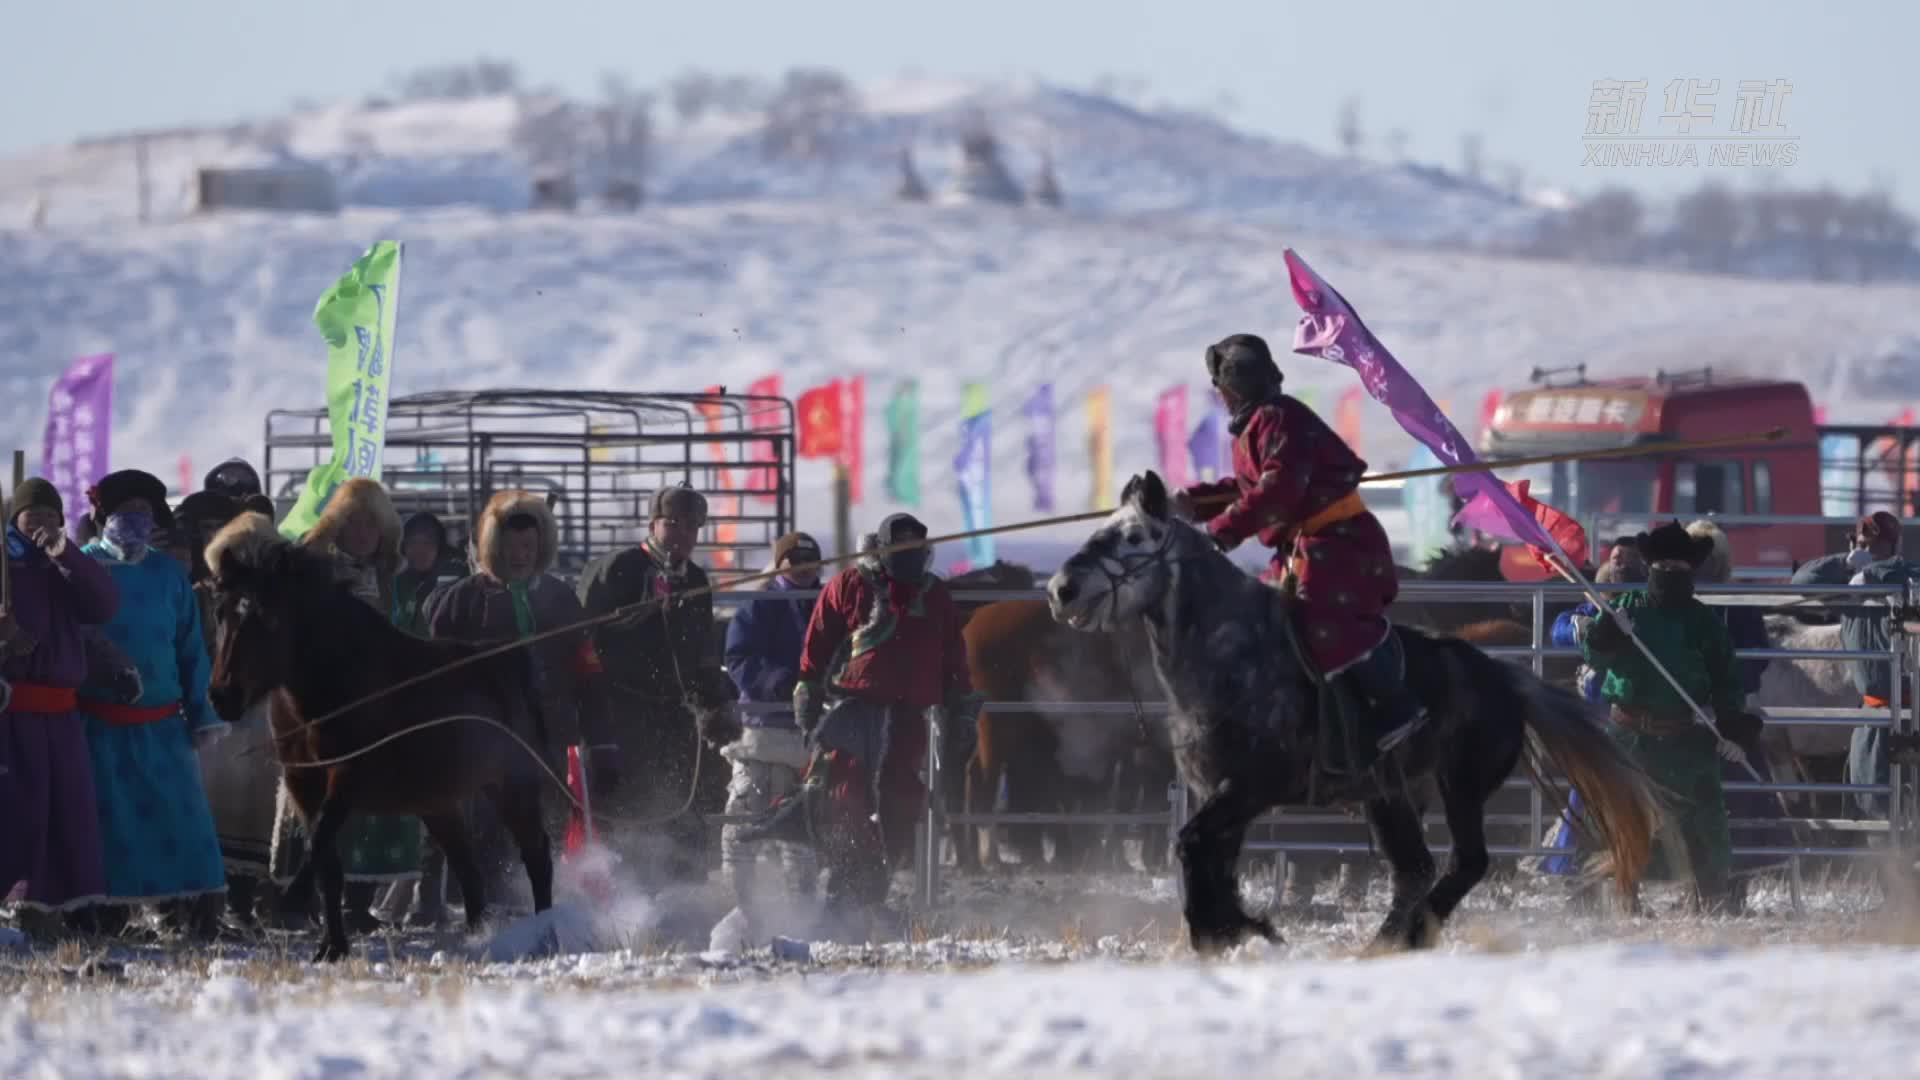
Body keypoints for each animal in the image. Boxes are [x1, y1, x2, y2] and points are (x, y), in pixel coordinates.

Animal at [206, 511, 560, 957]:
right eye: (221, 613)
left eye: (269, 618)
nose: (223, 697)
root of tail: (511, 661)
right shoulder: (303, 782)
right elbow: (329, 864)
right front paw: (332, 946)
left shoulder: (348, 777)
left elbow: (319, 846)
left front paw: (296, 903)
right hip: (437, 800)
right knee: (467, 866)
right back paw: (481, 936)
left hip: (511, 784)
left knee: (537, 856)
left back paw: (546, 937)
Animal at [1044, 470, 1658, 949]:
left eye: (1132, 537)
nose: (1060, 588)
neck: (1234, 653)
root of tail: (1504, 677)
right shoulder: (1224, 793)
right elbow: (1209, 859)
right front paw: (1236, 929)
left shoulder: (1249, 787)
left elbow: (1193, 845)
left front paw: (1226, 932)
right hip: (1391, 796)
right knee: (1415, 869)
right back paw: (1386, 941)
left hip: (1459, 784)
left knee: (1466, 863)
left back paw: (1405, 936)